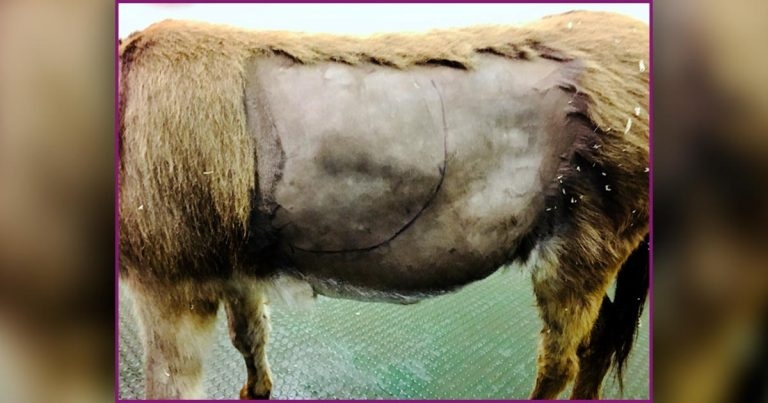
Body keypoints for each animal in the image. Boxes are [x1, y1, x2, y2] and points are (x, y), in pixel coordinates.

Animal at [118, 10, 649, 400]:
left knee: (561, 360)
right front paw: (256, 391)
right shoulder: (233, 264)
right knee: (600, 337)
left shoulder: (169, 280)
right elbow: (249, 336)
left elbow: (172, 380)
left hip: (581, 249)